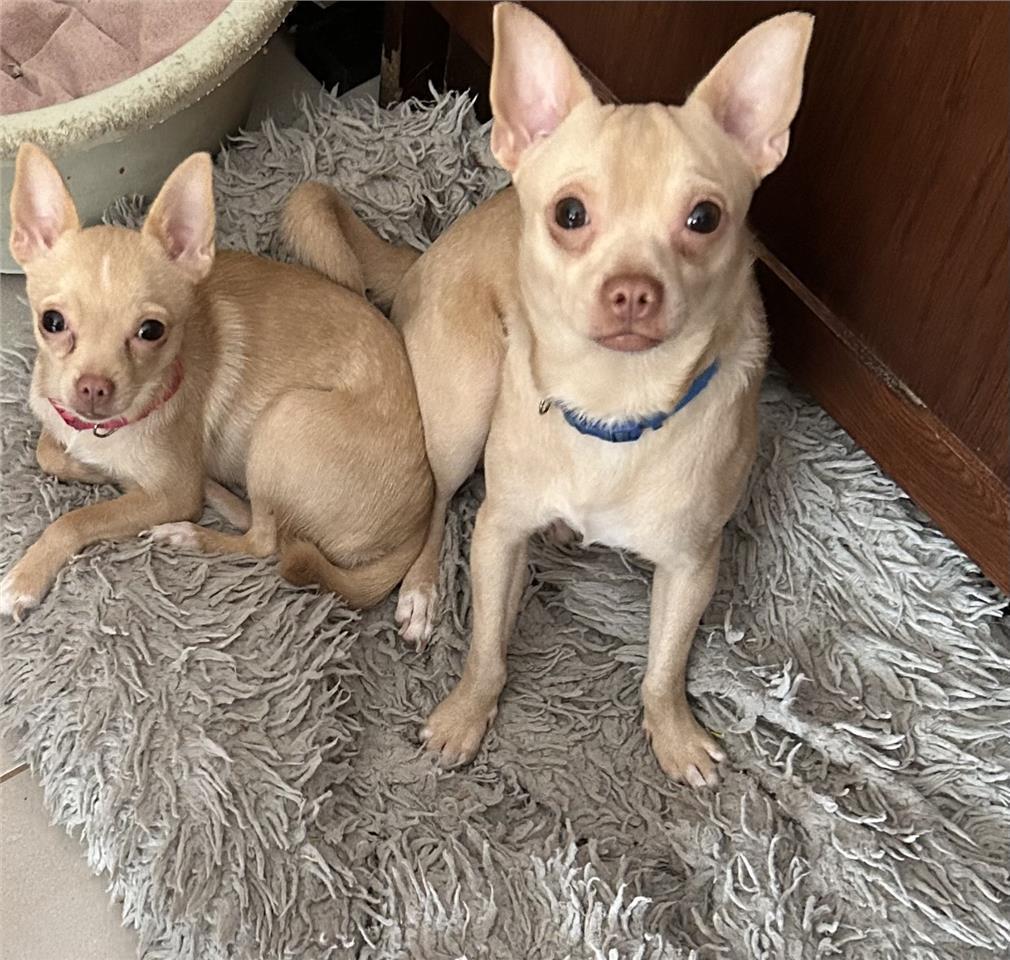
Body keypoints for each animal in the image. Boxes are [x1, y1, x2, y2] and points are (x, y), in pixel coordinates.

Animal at [1, 145, 432, 621]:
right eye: (51, 322)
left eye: (151, 331)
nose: (93, 387)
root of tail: (420, 519)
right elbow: (48, 453)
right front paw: (91, 467)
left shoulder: (171, 494)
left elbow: (75, 520)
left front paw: (25, 576)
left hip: (284, 419)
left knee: (266, 543)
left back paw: (190, 533)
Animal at [283, 2, 813, 786]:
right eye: (569, 214)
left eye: (704, 218)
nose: (633, 290)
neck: (613, 409)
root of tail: (425, 254)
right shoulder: (499, 532)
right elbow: (486, 650)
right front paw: (466, 718)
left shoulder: (692, 566)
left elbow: (664, 666)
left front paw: (674, 735)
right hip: (463, 410)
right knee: (437, 501)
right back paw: (421, 591)